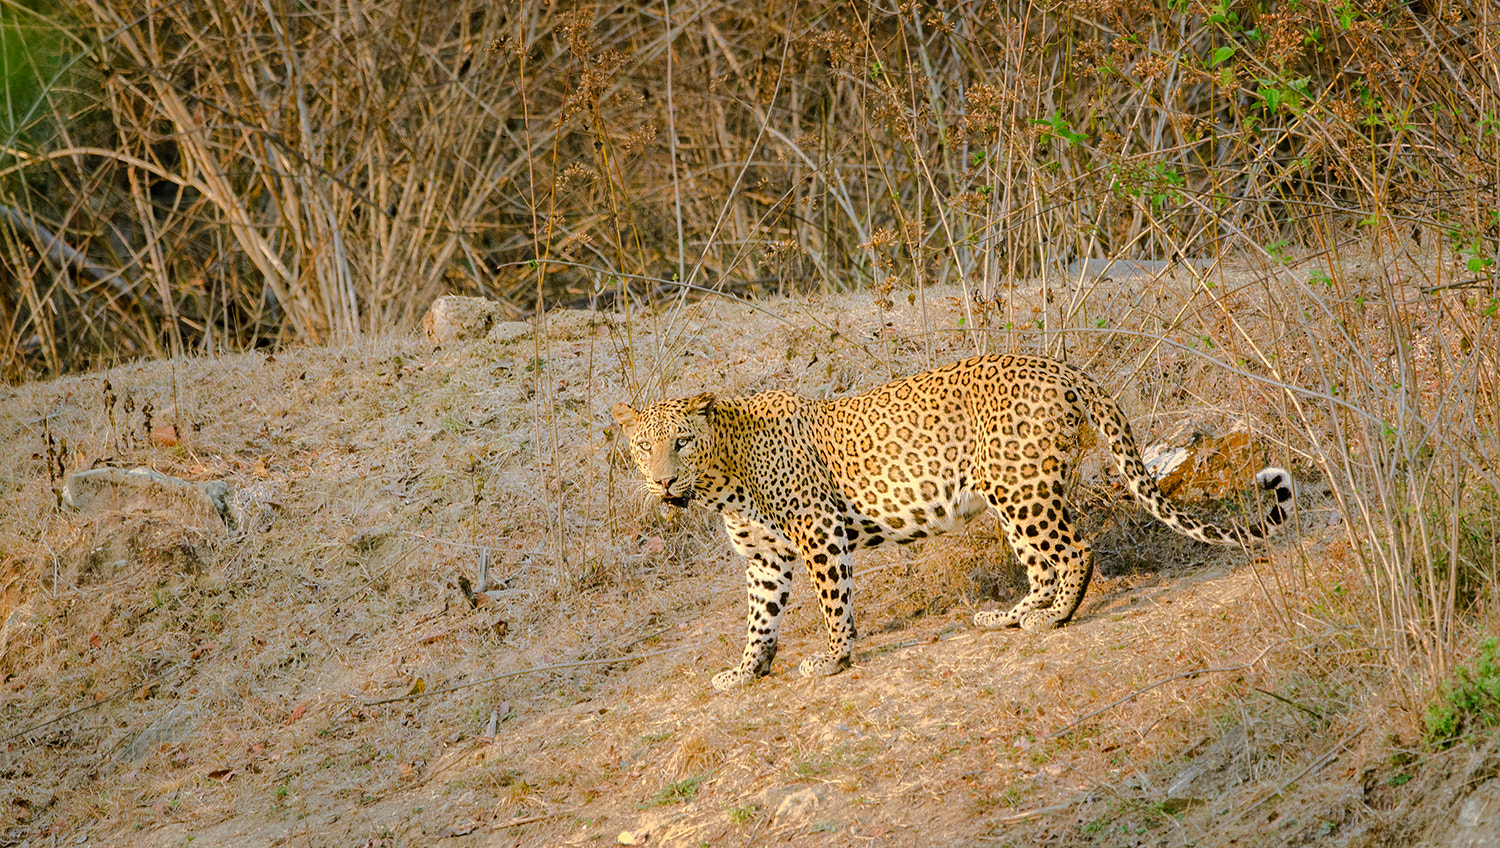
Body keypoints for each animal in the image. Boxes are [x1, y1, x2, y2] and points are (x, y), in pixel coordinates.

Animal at [609, 351, 1290, 687]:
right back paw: (1015, 615)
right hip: (1014, 491)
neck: (721, 482)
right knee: (1042, 560)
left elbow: (833, 605)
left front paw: (832, 660)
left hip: (1019, 487)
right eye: (644, 446)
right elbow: (759, 619)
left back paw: (1053, 619)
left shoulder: (819, 533)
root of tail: (1062, 367)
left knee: (1075, 548)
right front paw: (746, 671)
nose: (662, 480)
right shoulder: (765, 557)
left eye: (682, 442)